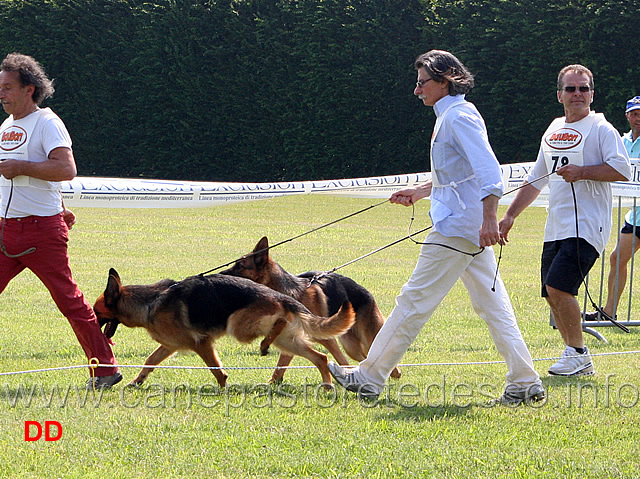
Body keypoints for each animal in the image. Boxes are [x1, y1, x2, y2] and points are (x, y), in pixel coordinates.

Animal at [93, 268, 358, 388]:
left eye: (96, 312)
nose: (91, 320)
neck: (149, 302)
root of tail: (281, 297)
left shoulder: (201, 343)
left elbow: (215, 368)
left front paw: (223, 386)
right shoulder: (169, 346)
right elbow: (149, 361)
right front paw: (136, 381)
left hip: (239, 325)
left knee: (278, 326)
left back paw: (264, 345)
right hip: (288, 341)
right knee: (320, 356)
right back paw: (327, 384)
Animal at [221, 238, 400, 384]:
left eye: (240, 266)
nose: (219, 275)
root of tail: (365, 291)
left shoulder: (327, 339)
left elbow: (340, 360)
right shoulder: (292, 336)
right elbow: (282, 363)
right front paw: (273, 382)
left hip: (365, 337)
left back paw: (394, 373)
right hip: (351, 346)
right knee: (365, 357)